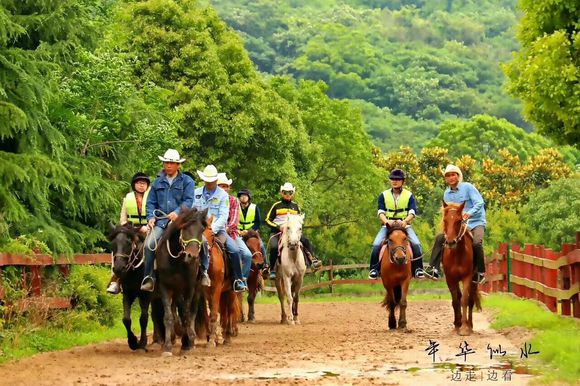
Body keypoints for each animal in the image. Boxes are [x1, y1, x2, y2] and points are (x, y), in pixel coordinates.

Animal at [107, 222, 151, 352]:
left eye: (128, 243)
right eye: (113, 243)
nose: (118, 268)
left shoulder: (146, 295)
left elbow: (143, 318)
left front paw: (142, 342)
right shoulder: (128, 293)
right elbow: (126, 319)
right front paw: (133, 342)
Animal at [152, 208, 208, 356]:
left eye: (201, 229)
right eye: (185, 227)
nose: (192, 256)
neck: (176, 261)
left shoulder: (189, 288)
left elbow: (186, 315)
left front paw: (187, 343)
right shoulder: (165, 288)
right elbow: (168, 317)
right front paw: (167, 347)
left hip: (196, 289)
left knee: (191, 311)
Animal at [204, 216, 240, 346]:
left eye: (212, 235)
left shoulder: (216, 288)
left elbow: (214, 313)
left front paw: (211, 342)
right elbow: (209, 313)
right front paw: (210, 337)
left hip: (230, 291)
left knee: (229, 312)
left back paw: (228, 336)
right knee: (223, 313)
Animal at [442, 202, 482, 334]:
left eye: (459, 221)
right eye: (445, 220)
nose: (450, 242)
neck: (457, 255)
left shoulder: (467, 277)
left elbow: (464, 300)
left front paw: (464, 327)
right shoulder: (450, 279)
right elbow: (455, 300)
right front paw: (457, 325)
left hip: (474, 280)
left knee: (470, 300)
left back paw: (470, 325)